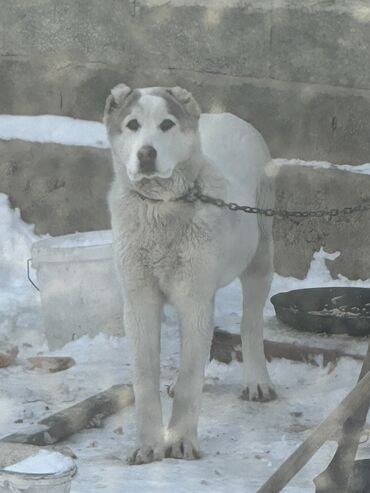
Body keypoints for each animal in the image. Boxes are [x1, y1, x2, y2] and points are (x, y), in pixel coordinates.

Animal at [102, 82, 276, 464]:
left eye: (167, 124)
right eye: (132, 125)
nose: (146, 154)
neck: (161, 209)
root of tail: (226, 115)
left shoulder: (193, 298)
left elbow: (190, 378)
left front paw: (180, 442)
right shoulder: (139, 302)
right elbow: (145, 379)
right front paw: (148, 446)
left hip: (259, 259)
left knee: (250, 325)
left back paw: (257, 381)